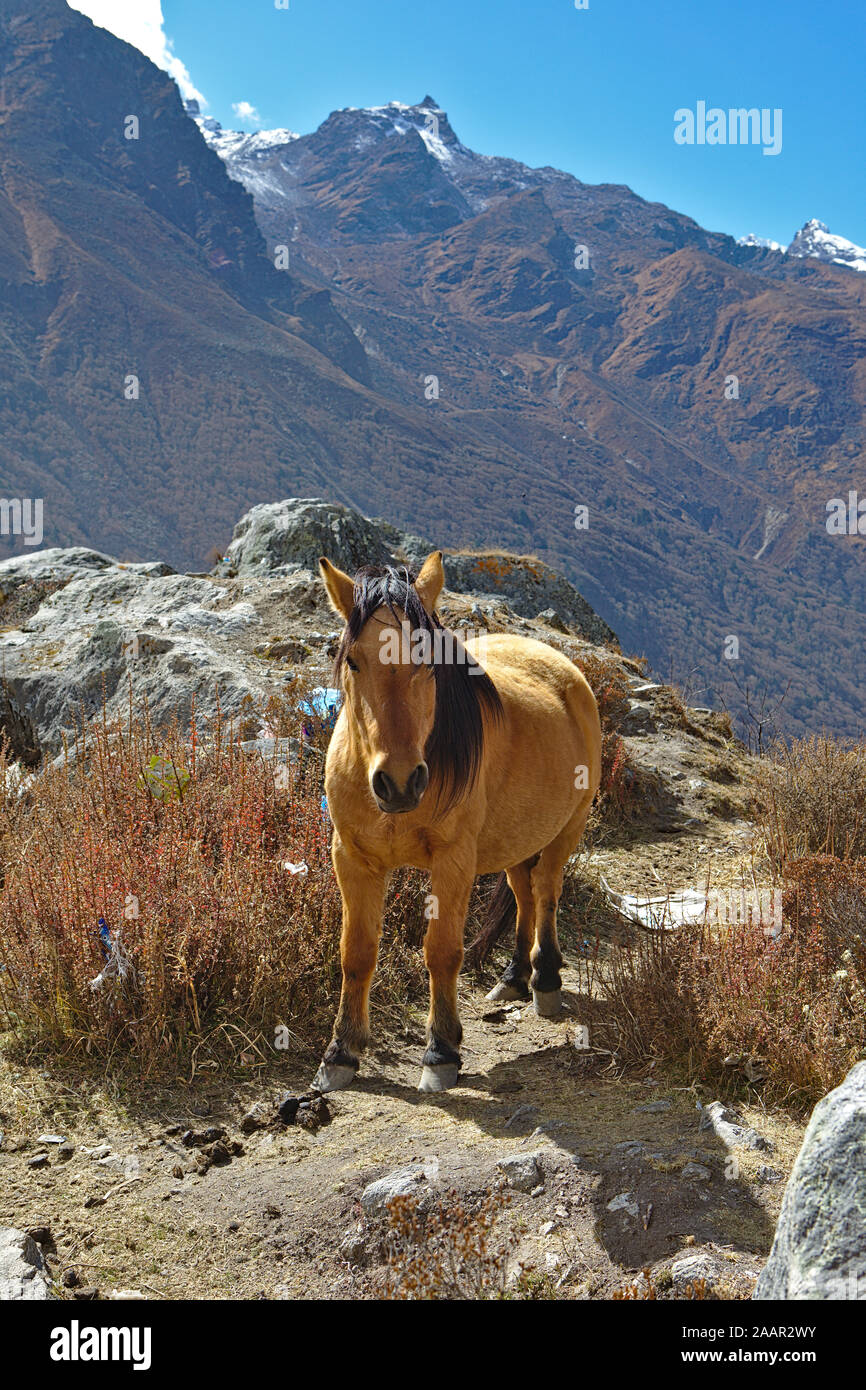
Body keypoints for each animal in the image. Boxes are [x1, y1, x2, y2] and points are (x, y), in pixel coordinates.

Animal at [311, 547, 603, 1089]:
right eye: (354, 660)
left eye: (427, 660)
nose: (399, 782)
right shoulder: (353, 859)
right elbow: (356, 953)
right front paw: (341, 1052)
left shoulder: (453, 862)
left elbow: (442, 951)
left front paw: (440, 1050)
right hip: (514, 838)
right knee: (523, 892)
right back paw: (512, 978)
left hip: (566, 830)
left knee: (547, 892)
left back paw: (544, 978)